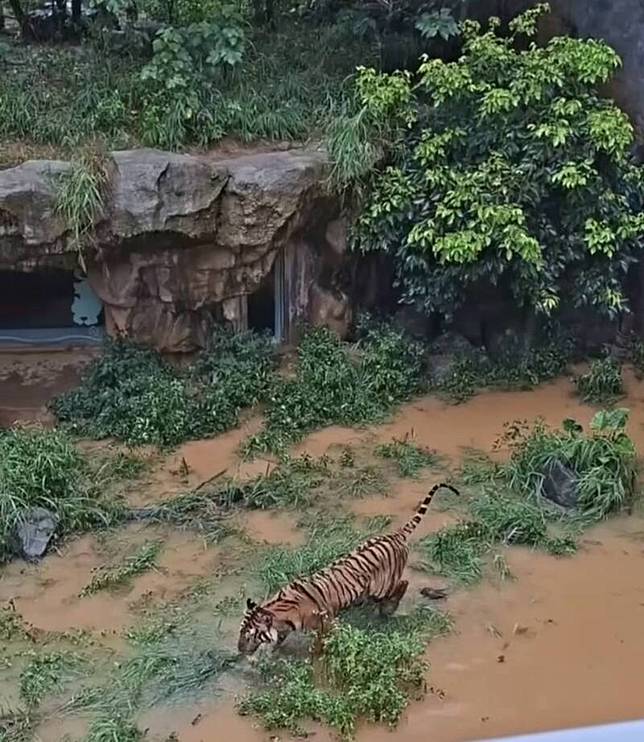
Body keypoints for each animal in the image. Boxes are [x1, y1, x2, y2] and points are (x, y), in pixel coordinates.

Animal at [237, 481, 459, 655]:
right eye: (241, 631)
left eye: (249, 635)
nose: (239, 649)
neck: (280, 612)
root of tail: (395, 535)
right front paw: (269, 653)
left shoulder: (325, 623)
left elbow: (322, 642)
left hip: (383, 585)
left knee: (402, 584)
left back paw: (386, 609)